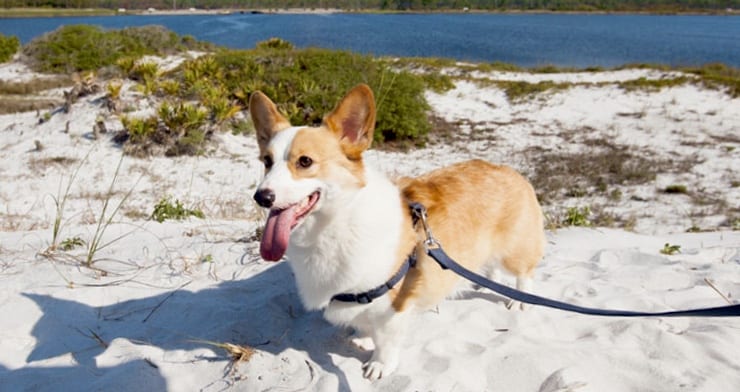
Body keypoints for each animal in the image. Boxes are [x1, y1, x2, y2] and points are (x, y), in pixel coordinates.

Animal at [249, 83, 544, 380]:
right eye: (266, 161)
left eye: (305, 161)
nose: (261, 197)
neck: (336, 223)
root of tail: (511, 171)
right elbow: (363, 322)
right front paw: (362, 337)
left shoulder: (392, 306)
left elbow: (385, 340)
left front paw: (379, 365)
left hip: (514, 252)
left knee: (524, 274)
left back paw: (520, 301)